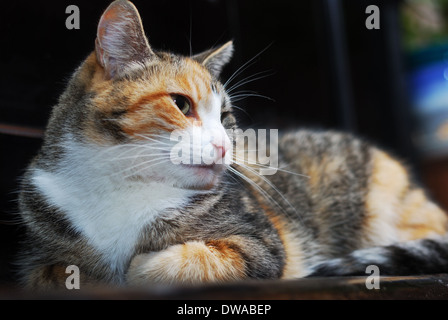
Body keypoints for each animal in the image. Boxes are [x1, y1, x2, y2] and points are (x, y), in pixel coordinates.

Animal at [16, 0, 448, 290]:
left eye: (225, 117)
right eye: (181, 104)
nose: (225, 146)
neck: (122, 183)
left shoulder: (262, 245)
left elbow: (177, 262)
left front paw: (136, 269)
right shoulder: (40, 251)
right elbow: (52, 274)